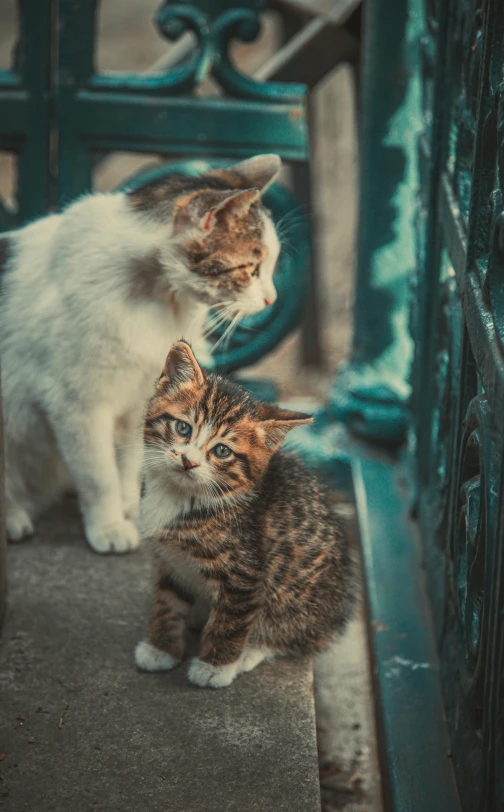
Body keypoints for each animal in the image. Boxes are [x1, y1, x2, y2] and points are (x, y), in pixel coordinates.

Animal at [0, 154, 282, 552]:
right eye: (251, 269)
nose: (272, 299)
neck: (158, 296)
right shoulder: (77, 404)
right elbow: (99, 474)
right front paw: (108, 525)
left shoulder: (142, 398)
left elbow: (133, 461)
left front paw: (134, 506)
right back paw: (12, 517)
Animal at [134, 340, 354, 688]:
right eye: (182, 428)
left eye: (222, 451)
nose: (188, 461)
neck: (181, 497)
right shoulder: (170, 562)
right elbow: (166, 603)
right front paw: (161, 649)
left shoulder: (245, 573)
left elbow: (230, 621)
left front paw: (215, 667)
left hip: (295, 593)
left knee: (291, 635)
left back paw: (249, 652)